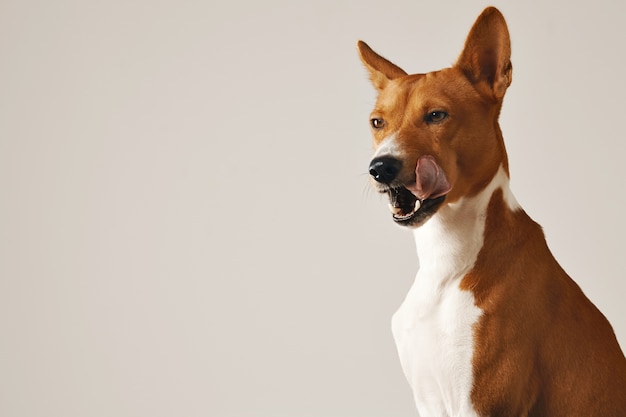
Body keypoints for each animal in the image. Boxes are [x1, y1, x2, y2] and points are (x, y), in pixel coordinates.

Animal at [356, 7, 624, 416]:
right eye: (377, 122)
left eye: (436, 116)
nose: (380, 167)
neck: (446, 265)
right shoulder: (428, 399)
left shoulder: (483, 402)